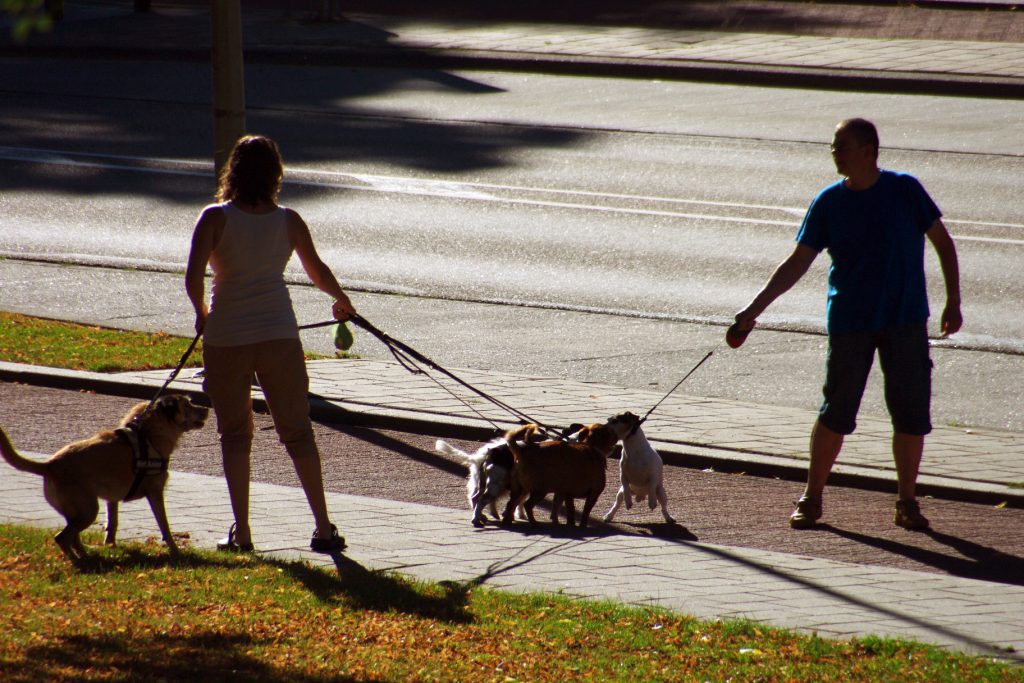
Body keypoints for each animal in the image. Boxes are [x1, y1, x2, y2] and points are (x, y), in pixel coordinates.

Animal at [0, 395, 207, 561]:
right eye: (187, 404)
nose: (206, 409)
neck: (148, 434)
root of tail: (50, 465)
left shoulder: (111, 498)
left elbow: (112, 522)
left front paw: (111, 545)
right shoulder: (155, 493)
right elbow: (164, 525)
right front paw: (175, 550)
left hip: (77, 511)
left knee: (72, 536)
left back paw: (86, 555)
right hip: (88, 510)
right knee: (62, 537)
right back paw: (79, 561)